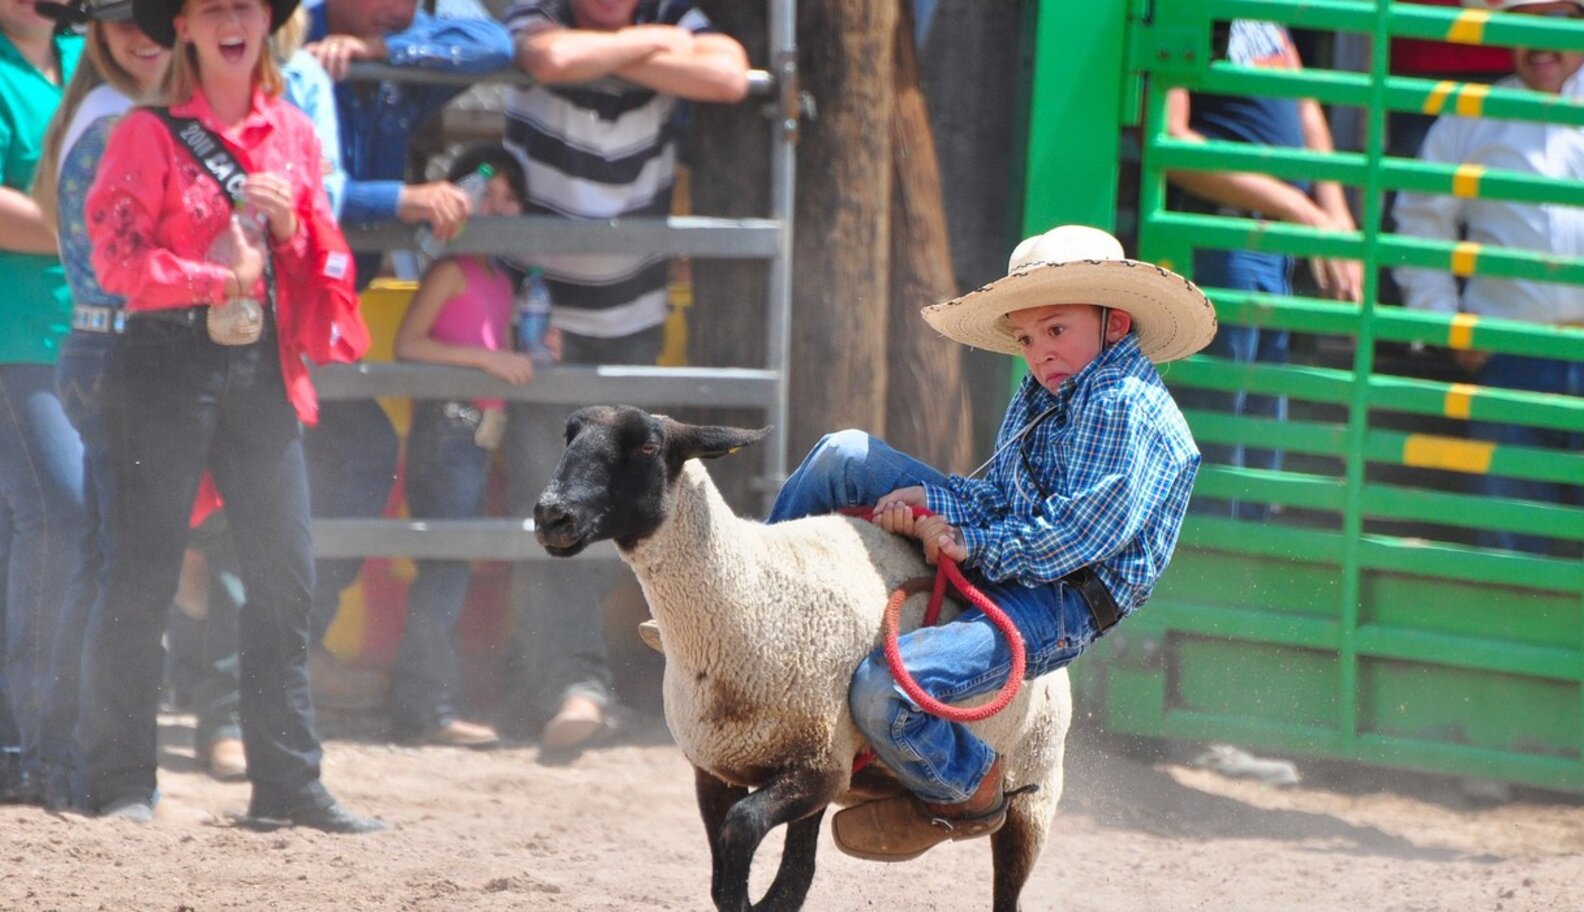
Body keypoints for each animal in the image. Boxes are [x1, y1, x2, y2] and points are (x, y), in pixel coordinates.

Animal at [533, 405, 1071, 912]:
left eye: (647, 446)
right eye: (567, 436)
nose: (551, 516)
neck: (748, 602)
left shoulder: (818, 766)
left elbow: (742, 831)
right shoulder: (717, 771)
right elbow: (733, 878)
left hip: (1036, 787)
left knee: (1008, 885)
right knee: (799, 873)